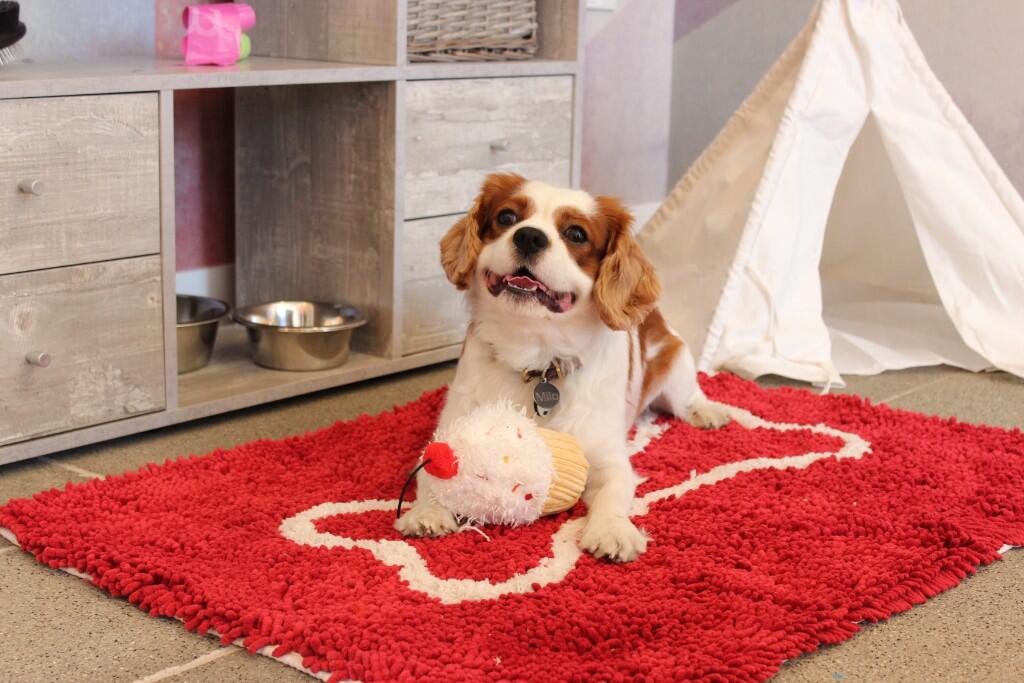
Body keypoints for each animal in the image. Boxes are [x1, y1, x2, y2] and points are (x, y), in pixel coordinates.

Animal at [395, 173, 730, 561]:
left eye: (576, 234)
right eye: (507, 217)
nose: (529, 236)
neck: (536, 357)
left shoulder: (608, 458)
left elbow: (614, 492)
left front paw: (612, 530)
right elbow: (430, 473)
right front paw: (428, 511)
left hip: (676, 362)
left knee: (689, 395)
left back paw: (707, 411)